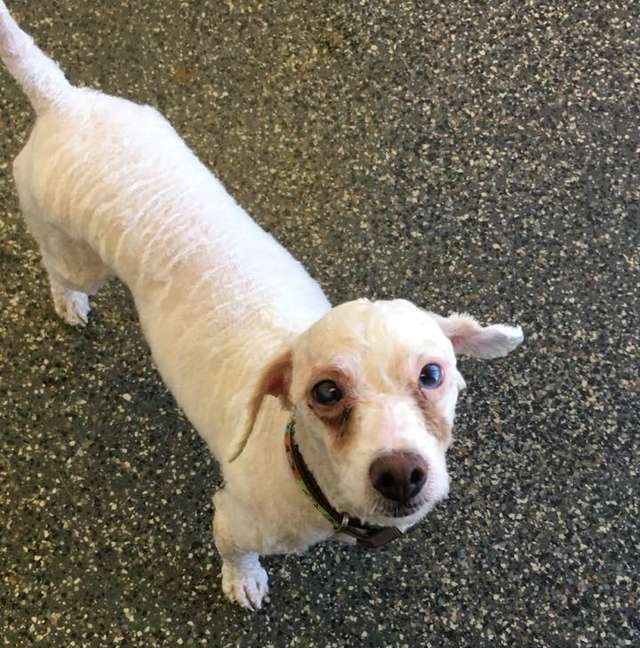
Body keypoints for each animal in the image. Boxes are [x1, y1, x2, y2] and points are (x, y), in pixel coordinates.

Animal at [0, 0, 524, 612]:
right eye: (326, 392)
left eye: (432, 374)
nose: (400, 474)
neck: (298, 459)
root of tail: (60, 99)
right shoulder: (233, 520)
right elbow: (236, 554)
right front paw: (243, 580)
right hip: (75, 254)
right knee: (57, 268)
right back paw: (68, 301)